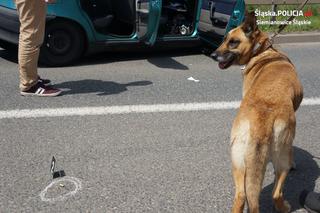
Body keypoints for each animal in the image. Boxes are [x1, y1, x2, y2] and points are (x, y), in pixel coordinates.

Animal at [211, 11, 304, 213]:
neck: (262, 52)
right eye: (224, 39)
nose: (213, 55)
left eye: (232, 42)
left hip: (238, 161)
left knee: (241, 195)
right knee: (276, 193)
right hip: (281, 161)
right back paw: (284, 207)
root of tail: (261, 121)